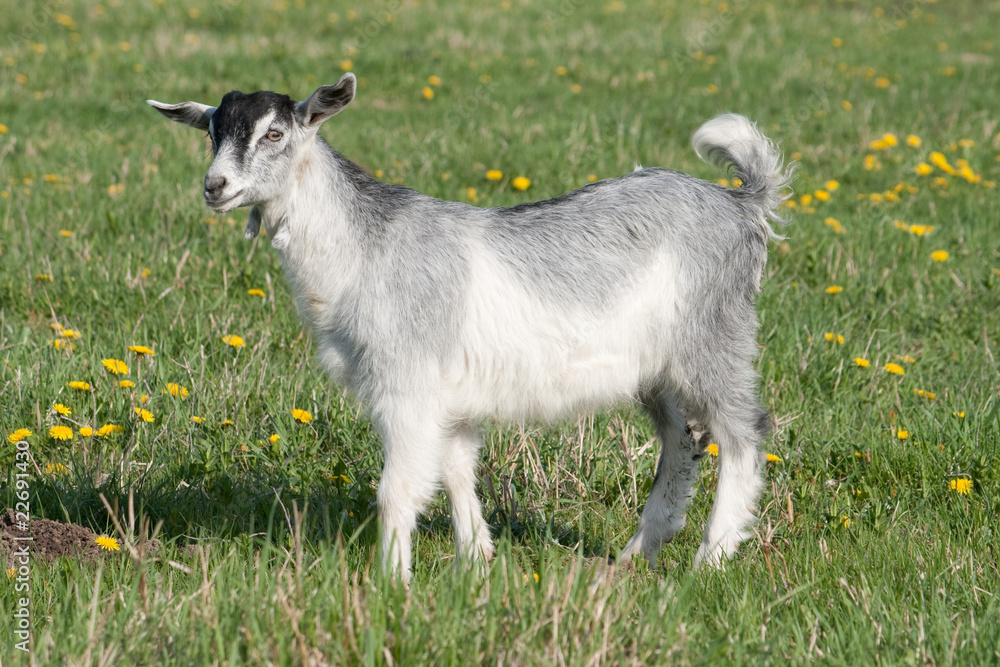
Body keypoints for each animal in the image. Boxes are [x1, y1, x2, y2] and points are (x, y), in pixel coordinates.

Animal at [148, 73, 791, 583]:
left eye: (275, 134)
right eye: (211, 133)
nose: (215, 187)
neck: (365, 251)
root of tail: (742, 205)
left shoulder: (407, 382)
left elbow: (396, 490)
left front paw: (392, 583)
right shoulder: (447, 399)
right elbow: (456, 468)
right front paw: (476, 560)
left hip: (713, 336)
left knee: (744, 432)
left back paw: (711, 560)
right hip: (658, 369)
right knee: (683, 438)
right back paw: (636, 554)